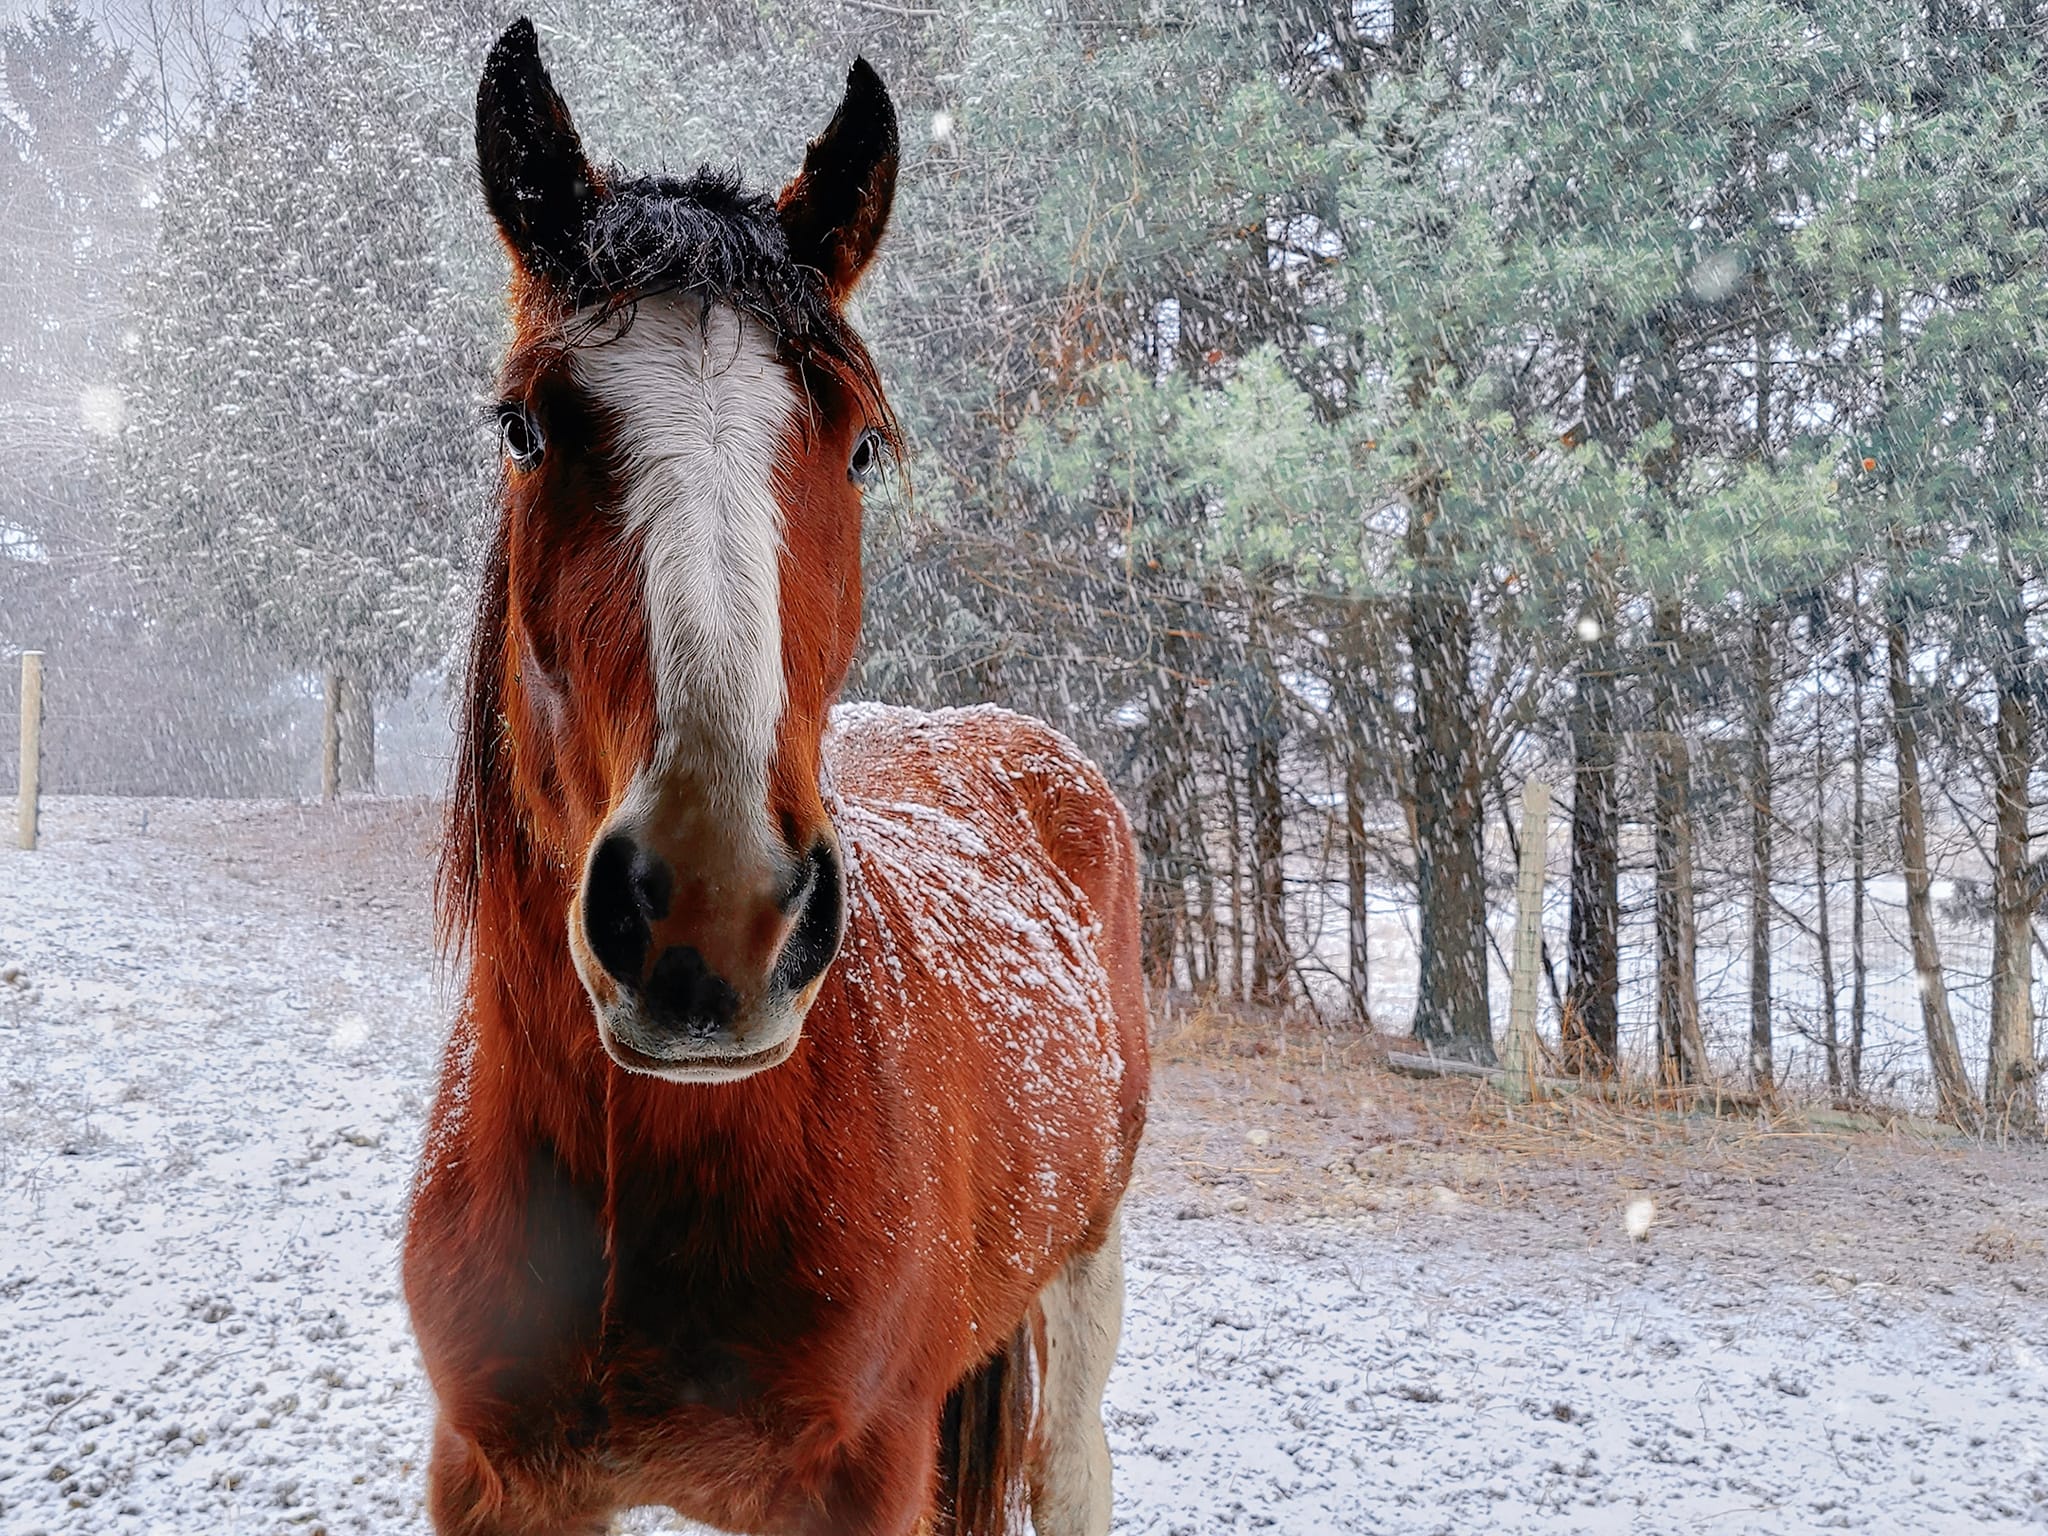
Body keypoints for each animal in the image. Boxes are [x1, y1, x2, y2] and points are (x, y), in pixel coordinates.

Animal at [403, 20, 1150, 1536]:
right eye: (522, 427)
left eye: (859, 442)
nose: (715, 915)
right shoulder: (493, 1479)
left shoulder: (864, 1482)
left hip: (1084, 1283)